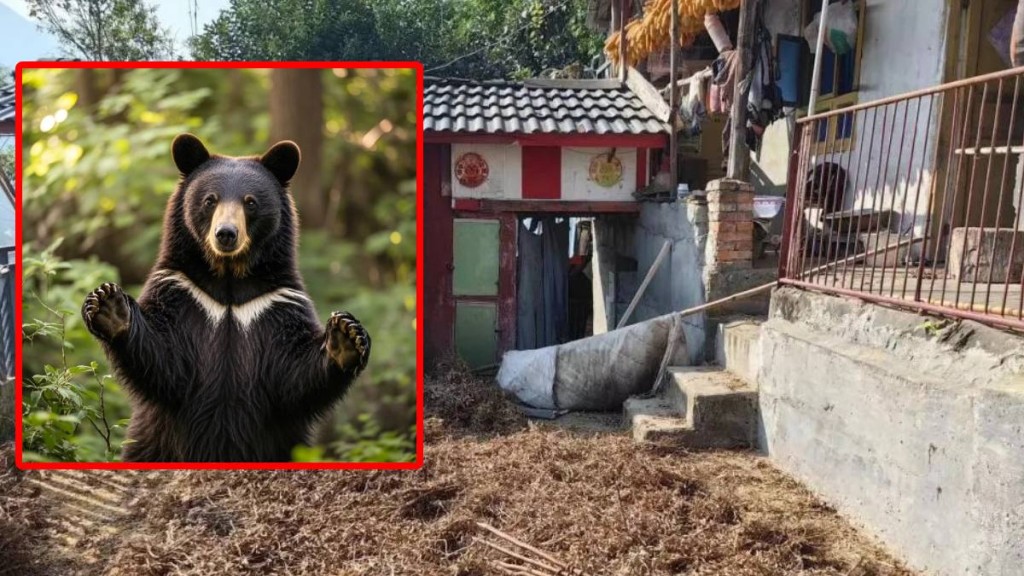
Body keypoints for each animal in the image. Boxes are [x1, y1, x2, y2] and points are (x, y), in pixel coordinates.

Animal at [80, 133, 368, 461]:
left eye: (250, 202)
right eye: (210, 200)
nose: (226, 234)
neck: (229, 279)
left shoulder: (273, 304)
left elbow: (292, 374)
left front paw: (346, 336)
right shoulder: (185, 292)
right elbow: (166, 357)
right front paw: (108, 305)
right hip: (154, 444)